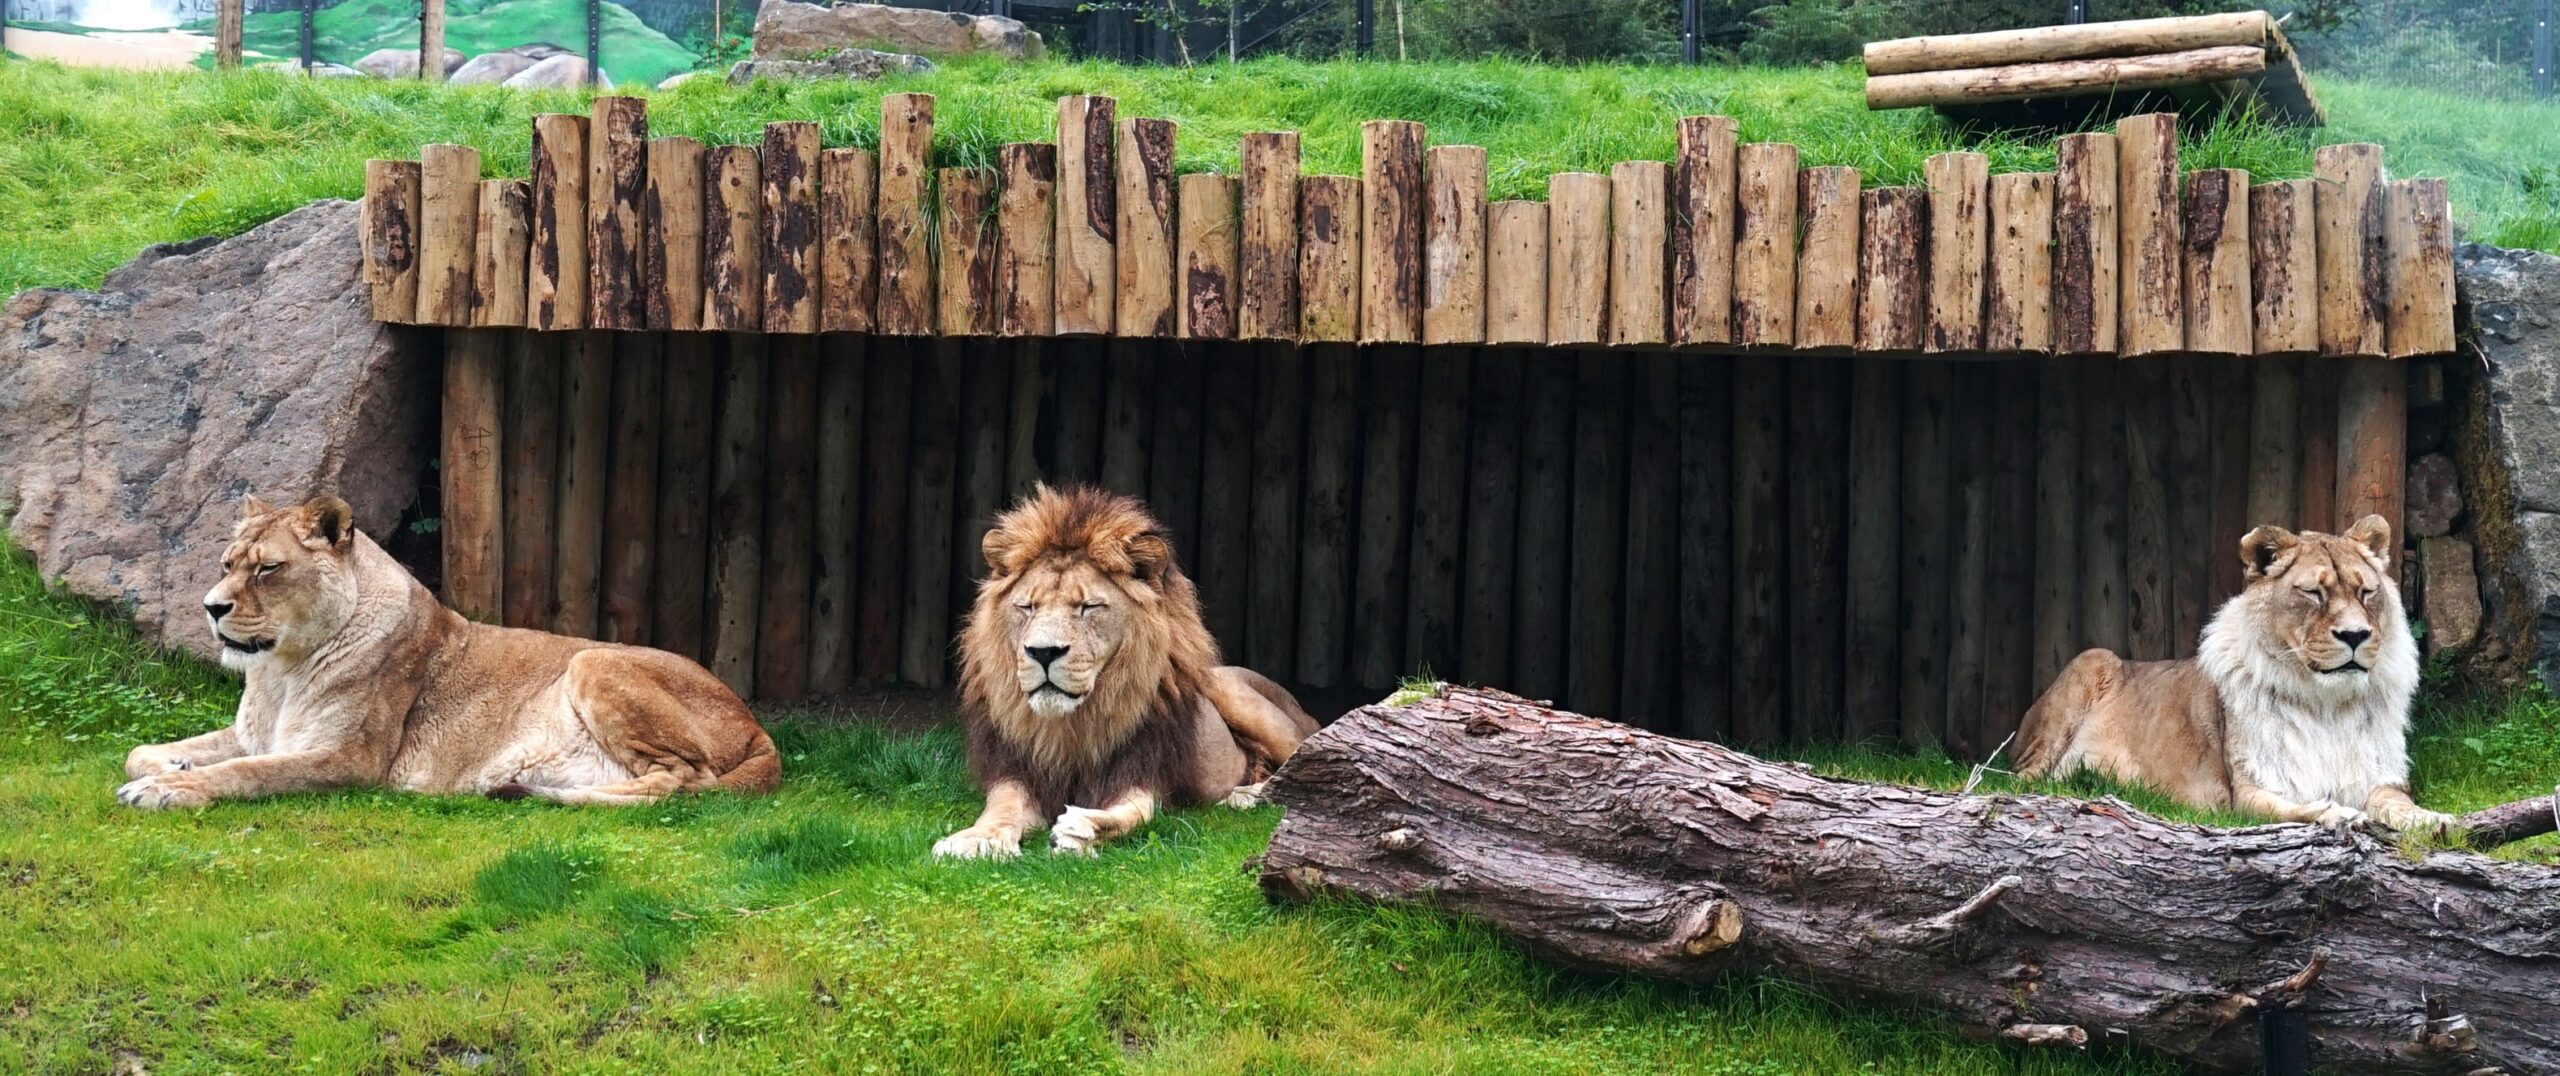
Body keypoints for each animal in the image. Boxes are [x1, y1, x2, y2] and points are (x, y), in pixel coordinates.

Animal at [114, 495, 779, 810]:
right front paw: (172, 767)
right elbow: (138, 751)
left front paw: (170, 790)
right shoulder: (259, 734)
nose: (211, 607)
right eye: (228, 564)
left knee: (682, 783)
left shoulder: (352, 759)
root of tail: (757, 727)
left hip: (593, 661)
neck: (280, 671)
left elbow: (249, 773)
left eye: (268, 569)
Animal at [932, 485, 1320, 859]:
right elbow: (1002, 808)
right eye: (1027, 607)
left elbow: (1136, 814)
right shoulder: (1015, 772)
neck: (1070, 727)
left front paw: (1081, 831)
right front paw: (978, 840)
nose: (1043, 652)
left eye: (1088, 607)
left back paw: (1247, 795)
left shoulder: (1142, 773)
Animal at [2015, 516, 2455, 835]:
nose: (2355, 635)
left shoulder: (2383, 779)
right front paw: (2337, 814)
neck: (2326, 703)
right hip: (2093, 661)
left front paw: (2433, 820)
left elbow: (2397, 804)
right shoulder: (2246, 794)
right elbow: (2292, 807)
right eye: (2314, 593)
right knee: (2020, 778)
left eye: (2366, 592)